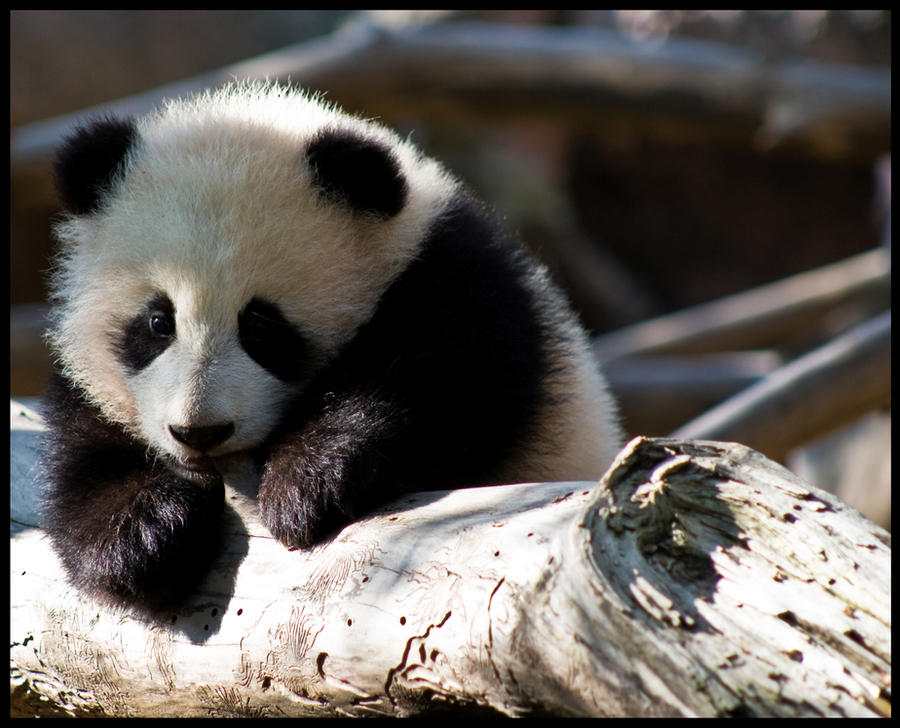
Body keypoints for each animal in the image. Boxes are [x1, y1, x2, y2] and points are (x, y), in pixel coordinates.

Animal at [40, 81, 620, 608]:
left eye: (261, 326)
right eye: (159, 322)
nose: (200, 432)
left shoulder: (462, 284)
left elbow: (447, 388)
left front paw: (307, 482)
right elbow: (87, 450)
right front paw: (143, 535)